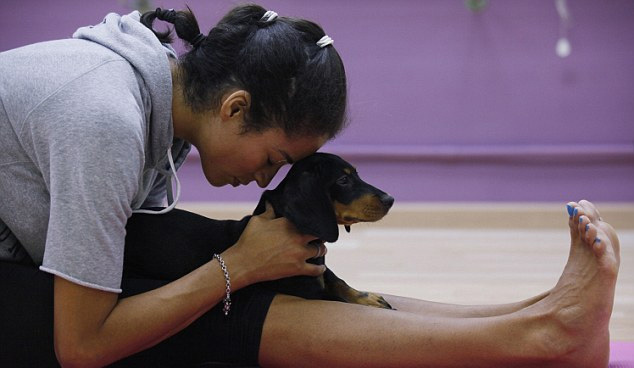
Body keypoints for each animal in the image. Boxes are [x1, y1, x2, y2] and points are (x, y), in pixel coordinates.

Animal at [123, 151, 392, 310]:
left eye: (356, 174)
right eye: (343, 181)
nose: (390, 199)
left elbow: (335, 278)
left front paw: (367, 297)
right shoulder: (309, 293)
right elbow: (338, 298)